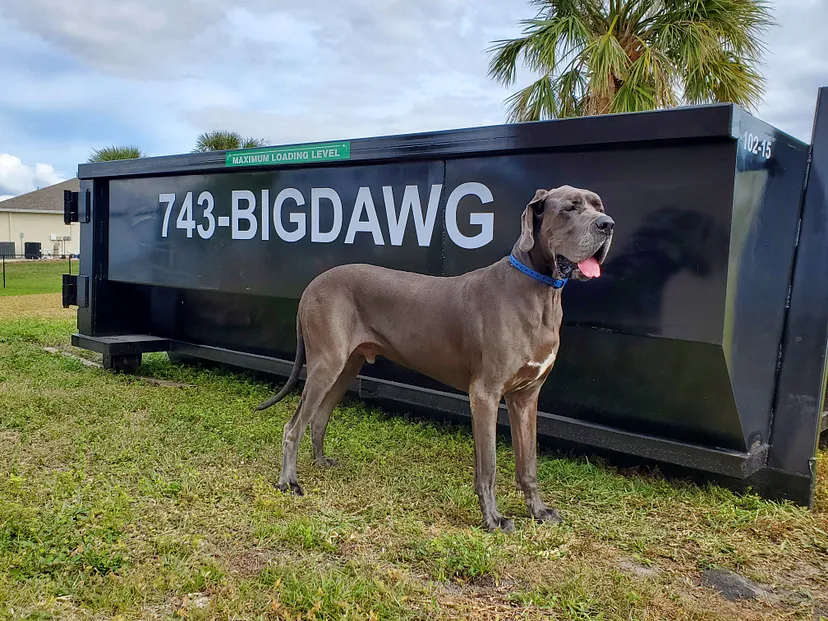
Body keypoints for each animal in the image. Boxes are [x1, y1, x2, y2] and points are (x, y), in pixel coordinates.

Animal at [258, 183, 616, 528]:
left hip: (346, 367)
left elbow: (528, 464)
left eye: (598, 206)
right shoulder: (484, 394)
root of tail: (311, 285)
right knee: (293, 426)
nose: (608, 225)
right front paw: (493, 519)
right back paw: (288, 482)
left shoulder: (526, 397)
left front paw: (538, 512)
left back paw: (320, 461)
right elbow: (488, 467)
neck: (538, 291)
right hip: (326, 364)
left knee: (318, 418)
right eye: (570, 208)